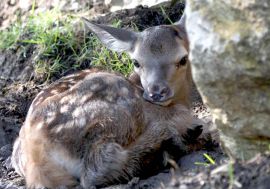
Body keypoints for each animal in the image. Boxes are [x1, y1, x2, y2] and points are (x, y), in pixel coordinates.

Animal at [10, 14, 205, 188]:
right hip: (114, 112)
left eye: (183, 59)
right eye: (136, 62)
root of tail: (35, 151)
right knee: (95, 170)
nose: (156, 92)